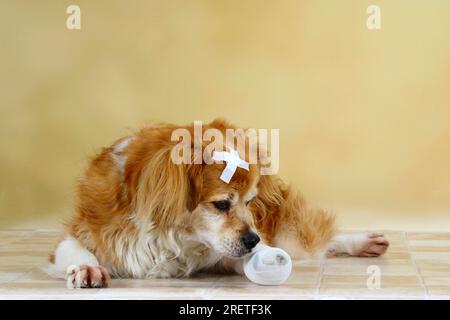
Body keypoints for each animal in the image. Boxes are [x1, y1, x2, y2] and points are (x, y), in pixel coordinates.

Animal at [48, 119, 386, 288]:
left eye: (250, 202)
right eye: (222, 204)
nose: (253, 239)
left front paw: (265, 258)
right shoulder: (83, 231)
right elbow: (75, 250)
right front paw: (87, 268)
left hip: (293, 235)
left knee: (319, 239)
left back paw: (362, 242)